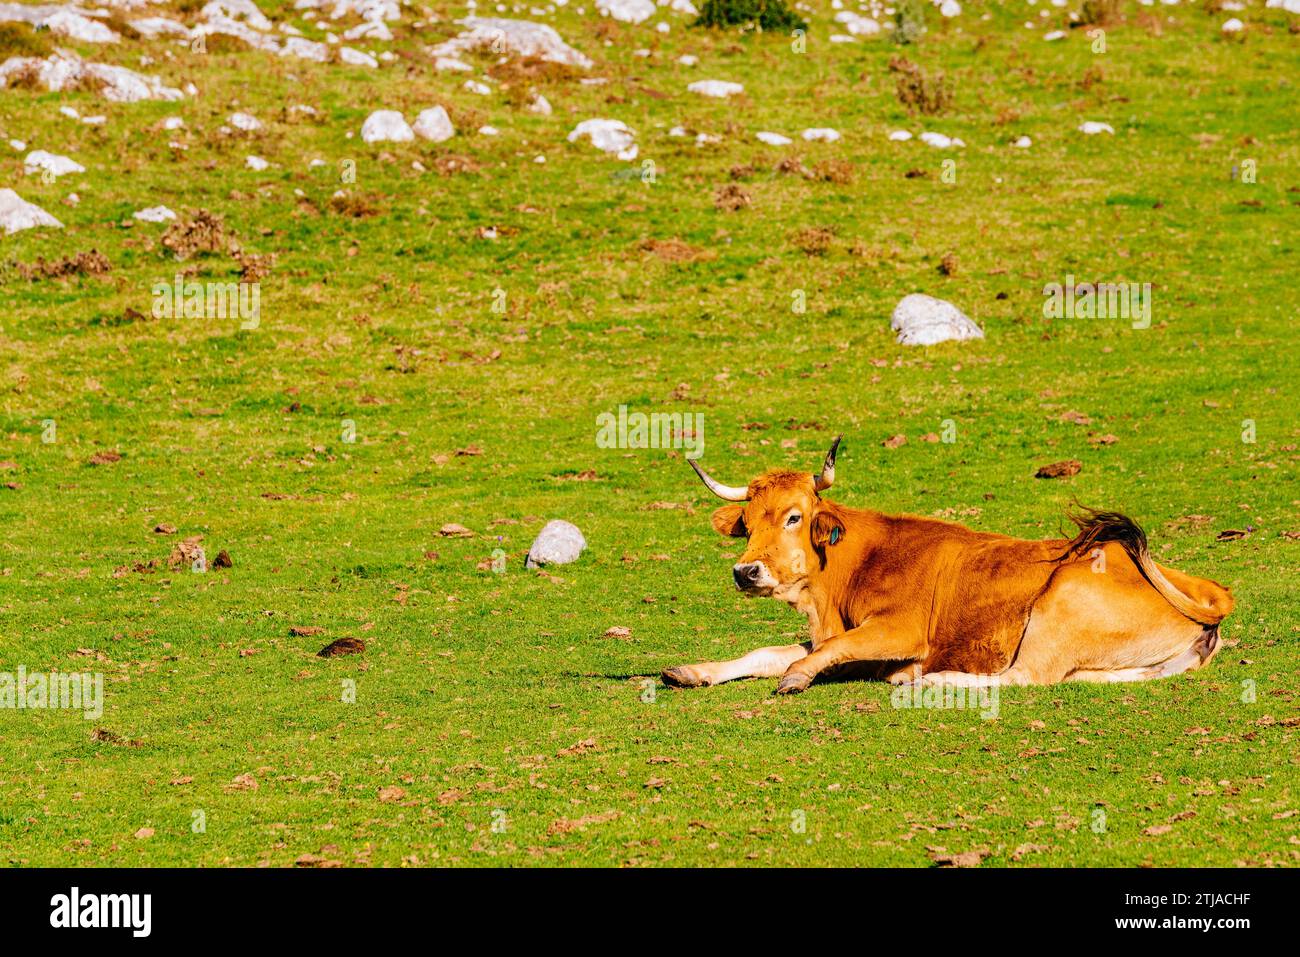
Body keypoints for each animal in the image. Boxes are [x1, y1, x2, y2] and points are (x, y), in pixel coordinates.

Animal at [662, 436, 1234, 695]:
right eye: (747, 521)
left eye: (794, 516)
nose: (746, 572)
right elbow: (767, 652)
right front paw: (693, 671)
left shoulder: (900, 630)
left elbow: (816, 655)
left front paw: (797, 678)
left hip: (1060, 600)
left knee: (1024, 677)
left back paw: (927, 681)